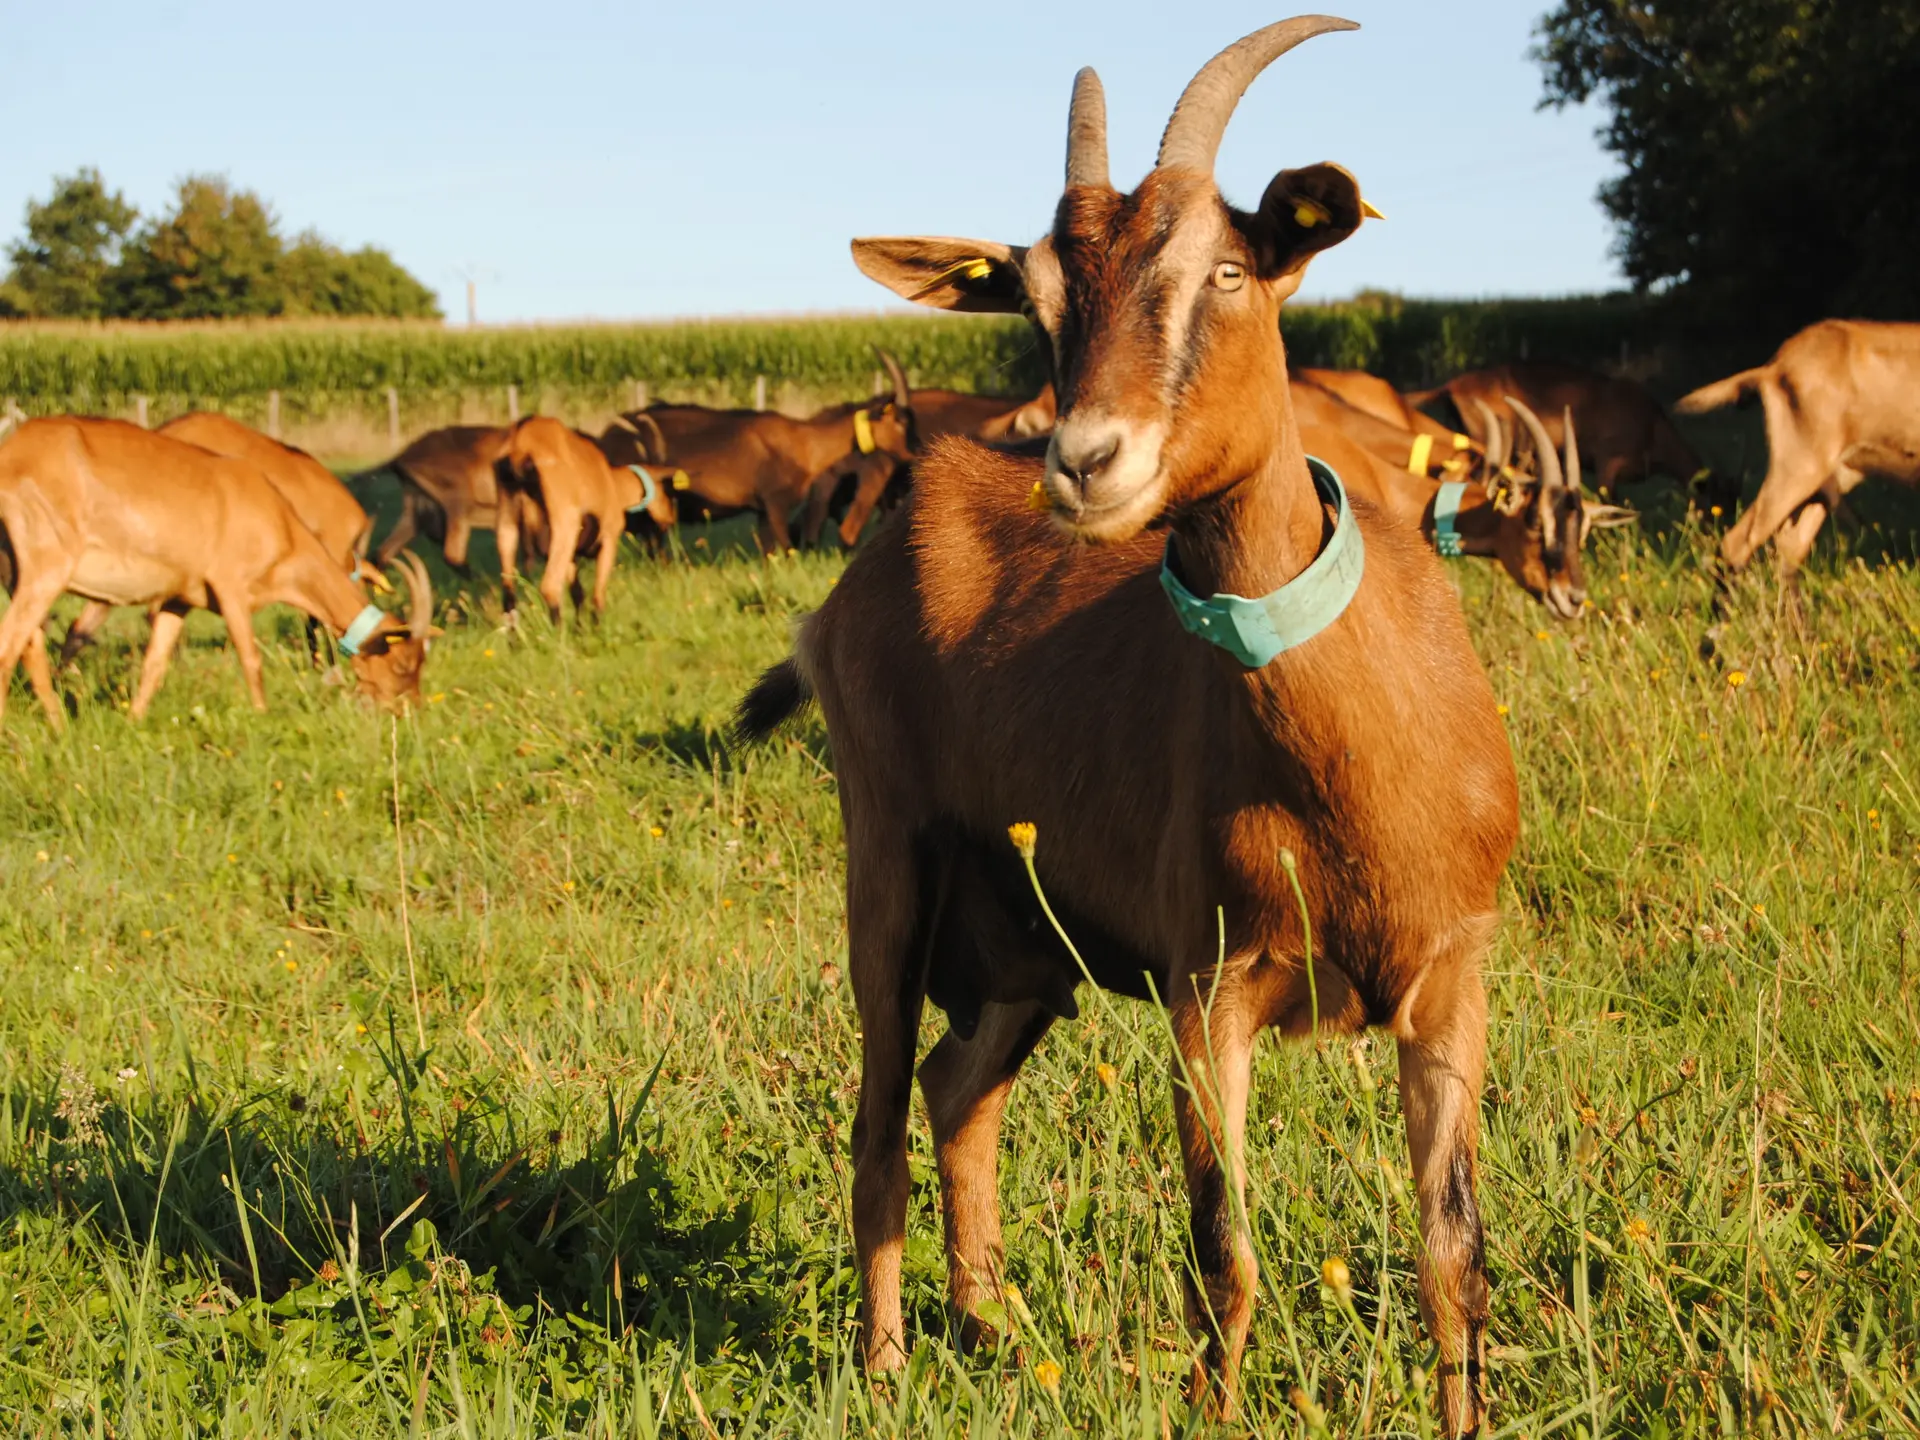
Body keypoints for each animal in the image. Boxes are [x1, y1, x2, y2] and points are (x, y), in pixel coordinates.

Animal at [0, 422, 433, 725]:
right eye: (402, 664)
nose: (408, 712)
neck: (280, 524)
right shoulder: (232, 588)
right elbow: (250, 659)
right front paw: (262, 718)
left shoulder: (180, 599)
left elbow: (154, 664)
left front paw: (134, 720)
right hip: (46, 566)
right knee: (10, 643)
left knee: (31, 644)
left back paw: (58, 726)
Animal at [491, 414, 679, 622]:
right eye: (665, 490)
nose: (670, 519)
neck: (611, 481)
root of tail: (521, 445)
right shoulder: (608, 540)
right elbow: (598, 597)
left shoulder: (571, 556)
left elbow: (578, 595)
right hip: (564, 525)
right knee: (550, 588)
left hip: (507, 527)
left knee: (509, 599)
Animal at [733, 19, 1512, 1436]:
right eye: (1040, 305)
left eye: (1228, 266)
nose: (1088, 462)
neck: (1357, 769)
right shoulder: (1208, 982)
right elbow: (1226, 1257)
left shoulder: (1452, 975)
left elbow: (1452, 1257)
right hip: (890, 860)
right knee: (877, 1115)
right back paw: (886, 1365)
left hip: (1025, 940)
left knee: (957, 1090)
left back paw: (989, 1326)